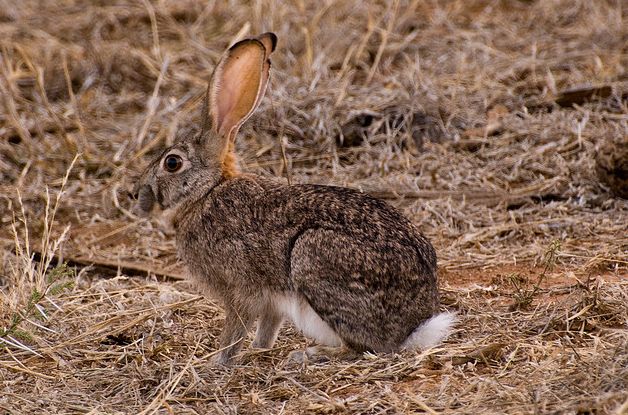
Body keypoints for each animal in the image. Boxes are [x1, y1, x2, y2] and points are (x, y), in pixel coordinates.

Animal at [134, 31, 456, 364]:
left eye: (172, 163)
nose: (138, 195)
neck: (206, 191)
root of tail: (413, 326)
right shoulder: (271, 302)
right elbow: (268, 326)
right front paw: (258, 350)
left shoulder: (238, 290)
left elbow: (235, 329)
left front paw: (218, 362)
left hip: (311, 255)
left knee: (364, 346)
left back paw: (309, 354)